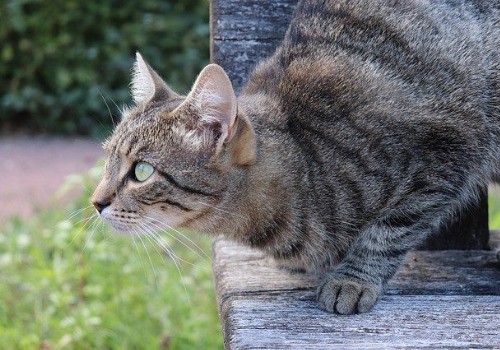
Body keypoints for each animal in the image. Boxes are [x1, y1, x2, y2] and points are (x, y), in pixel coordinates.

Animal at [93, 0, 500, 314]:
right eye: (108, 158)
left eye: (142, 171)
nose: (96, 202)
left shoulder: (444, 155)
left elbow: (387, 231)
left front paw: (351, 279)